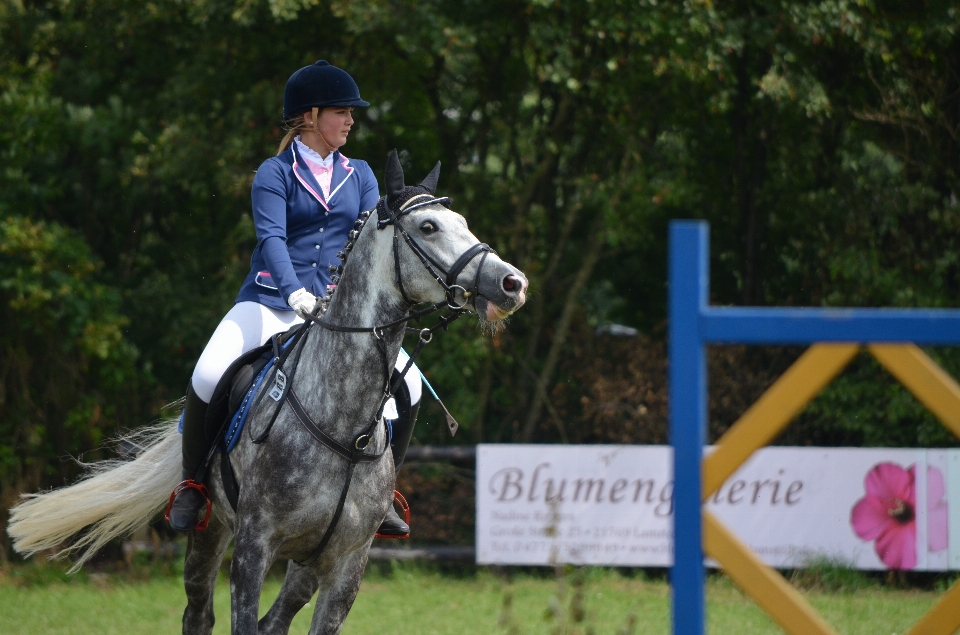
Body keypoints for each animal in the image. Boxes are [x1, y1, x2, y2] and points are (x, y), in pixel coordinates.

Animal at [7, 154, 524, 635]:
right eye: (429, 226)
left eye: (463, 223)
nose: (512, 284)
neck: (344, 425)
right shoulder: (254, 549)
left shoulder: (346, 565)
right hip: (210, 531)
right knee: (199, 614)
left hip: (307, 564)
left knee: (274, 620)